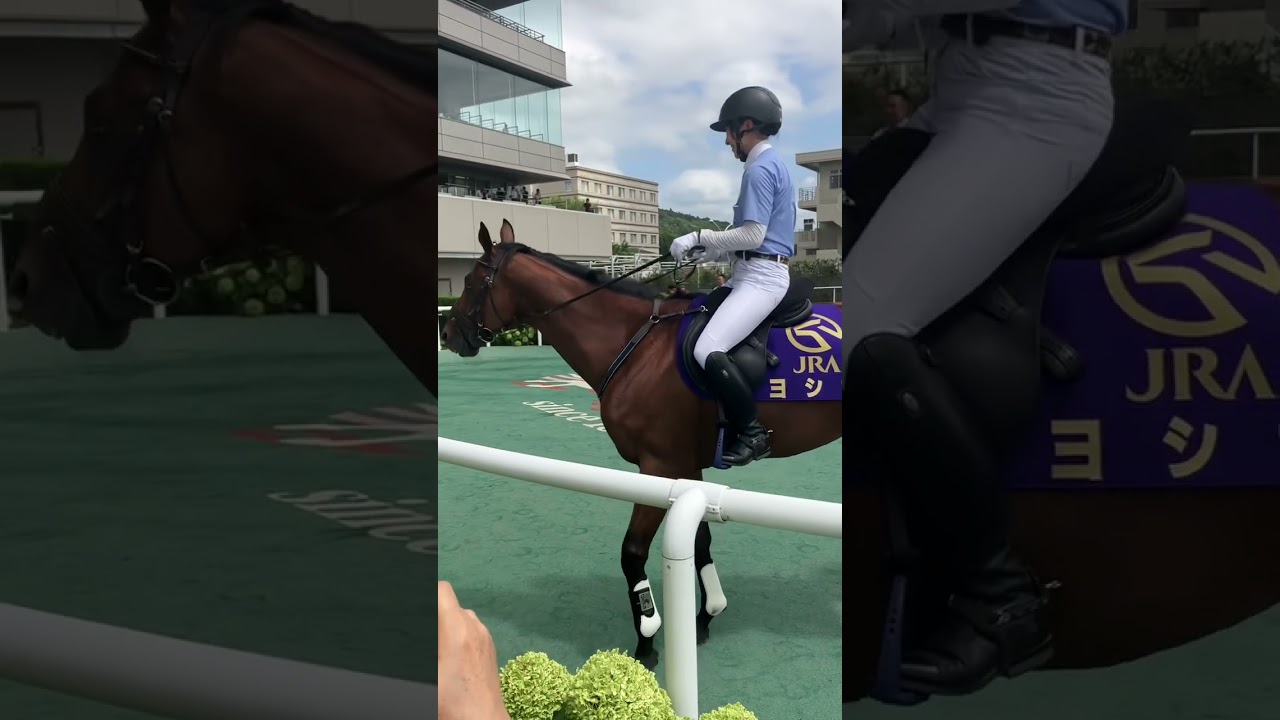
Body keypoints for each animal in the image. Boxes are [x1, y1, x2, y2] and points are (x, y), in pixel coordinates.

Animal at [440, 219, 843, 669]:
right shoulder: (685, 468)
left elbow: (632, 551)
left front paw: (647, 639)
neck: (637, 345)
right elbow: (700, 542)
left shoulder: (657, 467)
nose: (448, 332)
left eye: (471, 282)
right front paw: (705, 616)